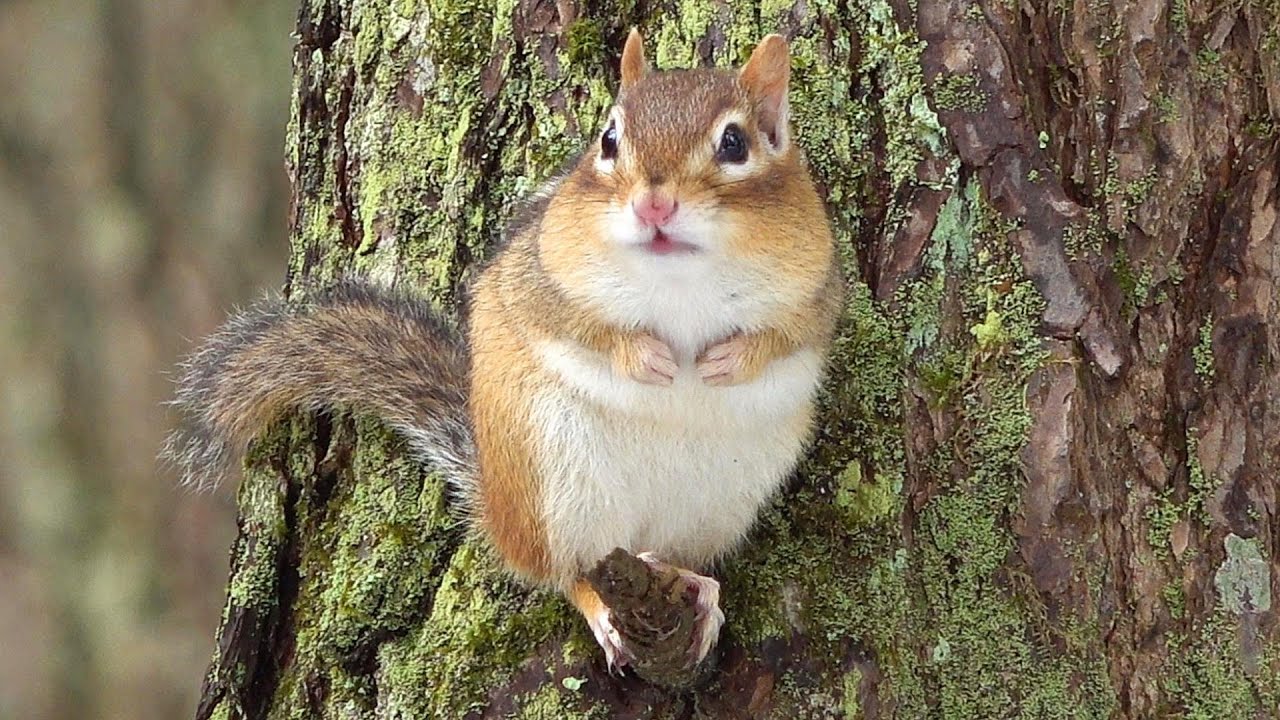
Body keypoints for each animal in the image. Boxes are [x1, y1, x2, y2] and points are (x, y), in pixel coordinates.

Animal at [164, 28, 841, 671]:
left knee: (667, 557)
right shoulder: (537, 276)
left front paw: (729, 359)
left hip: (717, 502)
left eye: (735, 144)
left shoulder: (818, 292)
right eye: (609, 139)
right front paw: (646, 356)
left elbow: (791, 333)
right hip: (555, 486)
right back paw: (601, 608)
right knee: (566, 572)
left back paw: (698, 588)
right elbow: (579, 324)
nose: (654, 204)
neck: (680, 279)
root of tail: (495, 504)